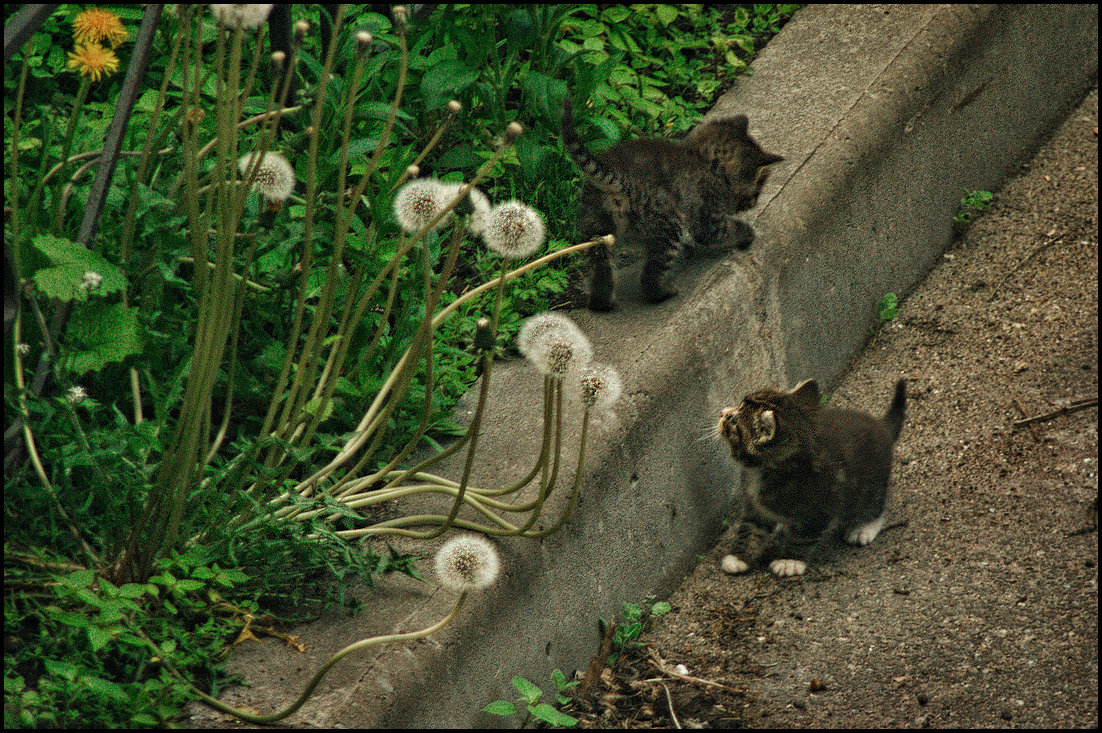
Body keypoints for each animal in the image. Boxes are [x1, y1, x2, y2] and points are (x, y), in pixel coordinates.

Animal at [559, 98, 784, 310]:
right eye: (756, 190)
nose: (755, 203)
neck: (701, 158)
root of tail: (620, 178)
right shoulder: (707, 219)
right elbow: (726, 229)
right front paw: (748, 233)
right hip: (668, 225)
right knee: (651, 274)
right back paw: (663, 292)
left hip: (594, 227)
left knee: (601, 266)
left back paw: (602, 301)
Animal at [718, 376, 908, 577]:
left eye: (734, 421)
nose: (722, 412)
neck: (761, 472)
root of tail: (882, 426)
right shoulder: (755, 506)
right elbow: (750, 528)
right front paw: (738, 557)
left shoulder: (821, 508)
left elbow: (803, 537)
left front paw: (789, 561)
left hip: (871, 484)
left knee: (874, 505)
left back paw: (864, 528)